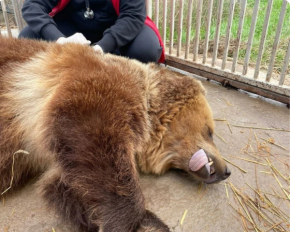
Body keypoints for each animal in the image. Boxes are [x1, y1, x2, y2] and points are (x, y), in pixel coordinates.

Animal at [0, 35, 231, 231]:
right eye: (210, 131)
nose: (227, 171)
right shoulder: (97, 87)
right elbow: (96, 142)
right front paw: (134, 220)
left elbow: (68, 184)